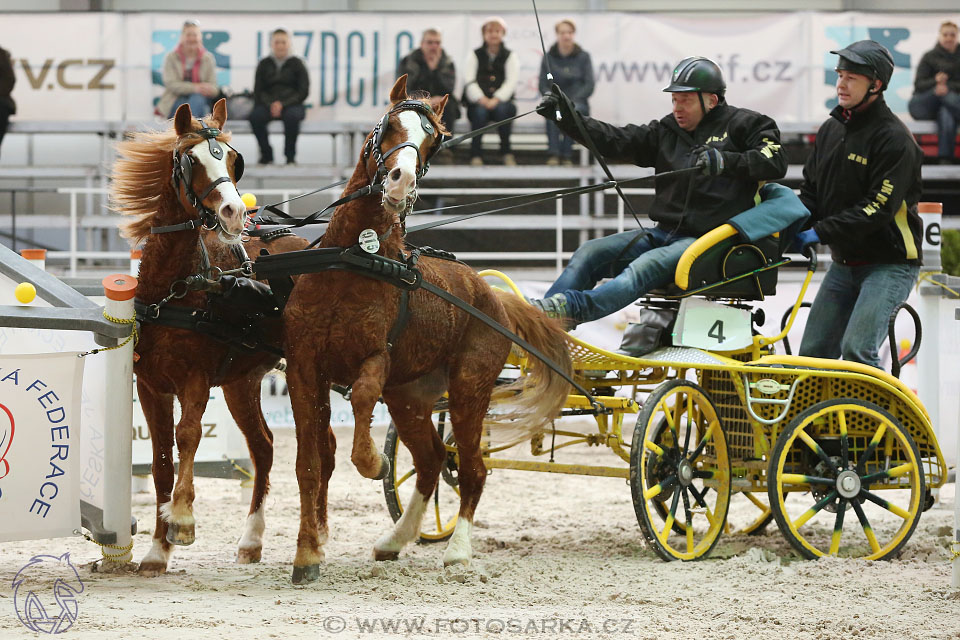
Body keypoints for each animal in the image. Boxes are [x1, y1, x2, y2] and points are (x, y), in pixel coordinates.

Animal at [112, 100, 308, 576]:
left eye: (233, 159)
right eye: (191, 160)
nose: (235, 212)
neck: (176, 288)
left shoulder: (195, 380)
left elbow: (189, 436)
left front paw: (181, 520)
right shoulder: (151, 386)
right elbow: (161, 460)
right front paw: (156, 551)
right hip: (242, 381)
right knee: (264, 446)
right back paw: (251, 540)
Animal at [282, 76, 572, 584]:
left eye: (433, 139)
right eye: (389, 125)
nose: (401, 181)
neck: (353, 260)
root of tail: (491, 296)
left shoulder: (376, 358)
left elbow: (361, 401)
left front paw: (373, 461)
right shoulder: (303, 367)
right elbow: (309, 465)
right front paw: (307, 555)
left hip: (469, 390)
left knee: (472, 469)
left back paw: (457, 550)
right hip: (410, 398)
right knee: (432, 460)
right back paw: (394, 540)